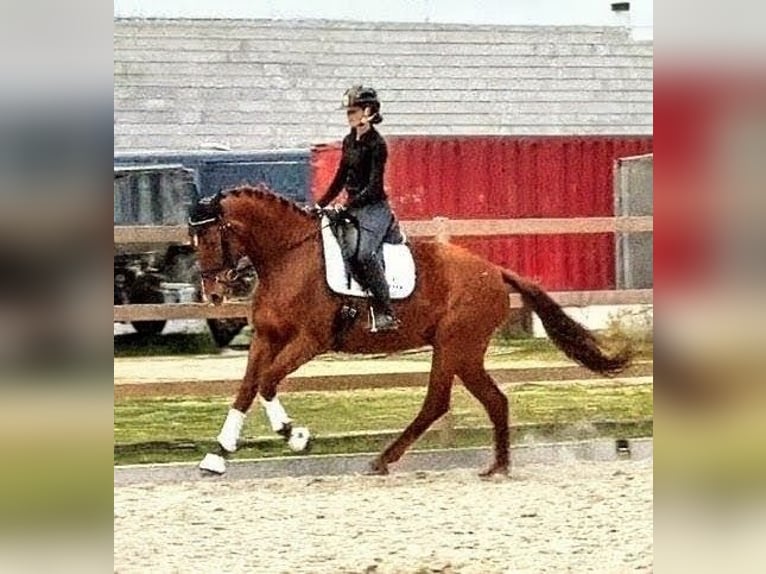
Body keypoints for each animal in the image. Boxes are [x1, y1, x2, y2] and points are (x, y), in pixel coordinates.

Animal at [188, 184, 631, 476]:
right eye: (193, 239)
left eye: (212, 236)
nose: (214, 294)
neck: (288, 259)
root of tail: (494, 271)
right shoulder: (267, 338)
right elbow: (247, 388)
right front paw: (218, 455)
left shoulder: (310, 341)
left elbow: (267, 382)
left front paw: (294, 435)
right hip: (462, 353)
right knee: (490, 401)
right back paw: (496, 467)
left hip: (455, 347)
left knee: (439, 402)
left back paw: (388, 460)